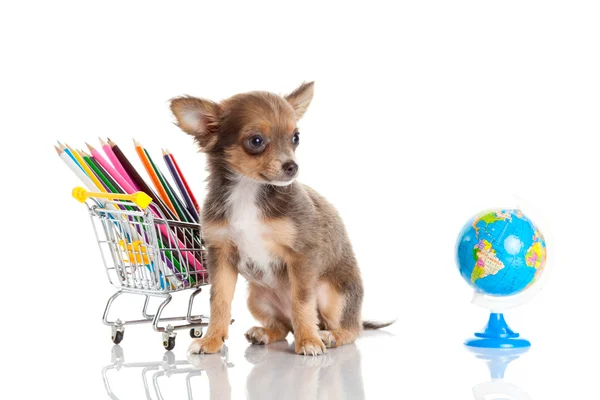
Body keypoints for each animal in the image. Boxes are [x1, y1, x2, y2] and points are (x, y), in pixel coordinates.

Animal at [171, 82, 392, 356]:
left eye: (295, 138)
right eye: (256, 141)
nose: (292, 166)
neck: (248, 190)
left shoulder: (302, 254)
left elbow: (302, 301)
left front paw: (308, 340)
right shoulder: (221, 254)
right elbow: (219, 300)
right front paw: (211, 340)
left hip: (331, 295)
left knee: (351, 329)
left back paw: (328, 335)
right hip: (257, 298)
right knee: (284, 326)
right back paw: (264, 333)